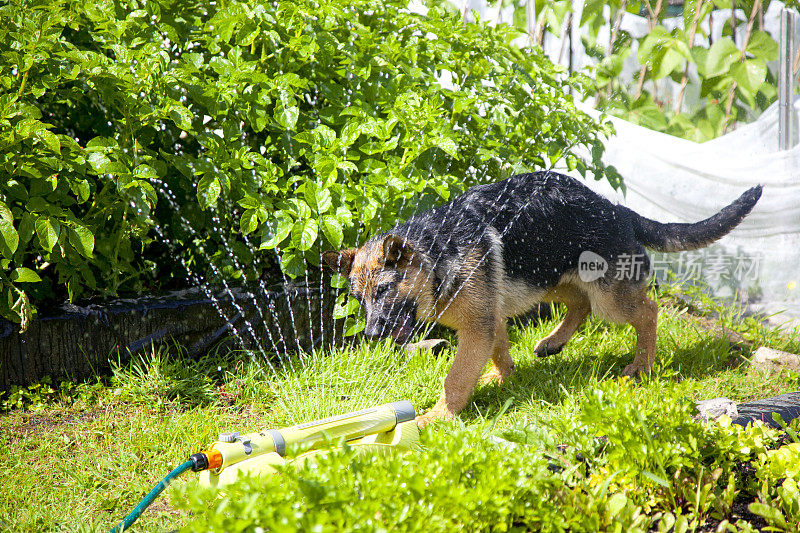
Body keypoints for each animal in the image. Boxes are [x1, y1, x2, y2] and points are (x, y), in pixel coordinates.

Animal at [320, 172, 764, 426]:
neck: (438, 255)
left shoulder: (477, 324)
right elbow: (498, 349)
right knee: (579, 306)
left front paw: (439, 416)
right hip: (550, 276)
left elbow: (456, 377)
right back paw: (553, 342)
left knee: (647, 312)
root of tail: (618, 210)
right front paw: (502, 376)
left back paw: (641, 364)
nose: (372, 334)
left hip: (608, 298)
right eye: (358, 299)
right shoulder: (489, 316)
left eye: (384, 290)